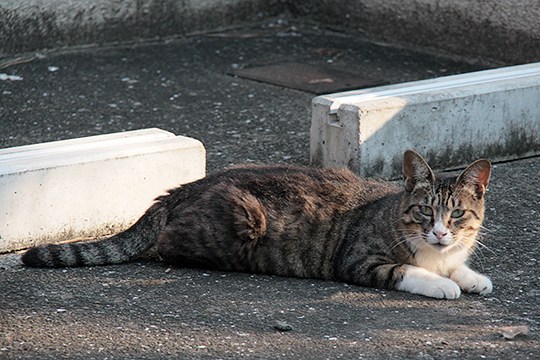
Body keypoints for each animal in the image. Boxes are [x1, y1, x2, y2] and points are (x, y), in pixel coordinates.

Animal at [23, 150, 492, 300]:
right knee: (168, 244)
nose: (439, 231)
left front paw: (471, 277)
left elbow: (457, 264)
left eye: (456, 214)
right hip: (244, 220)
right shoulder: (359, 259)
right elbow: (408, 270)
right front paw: (442, 283)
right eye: (424, 212)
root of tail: (185, 187)